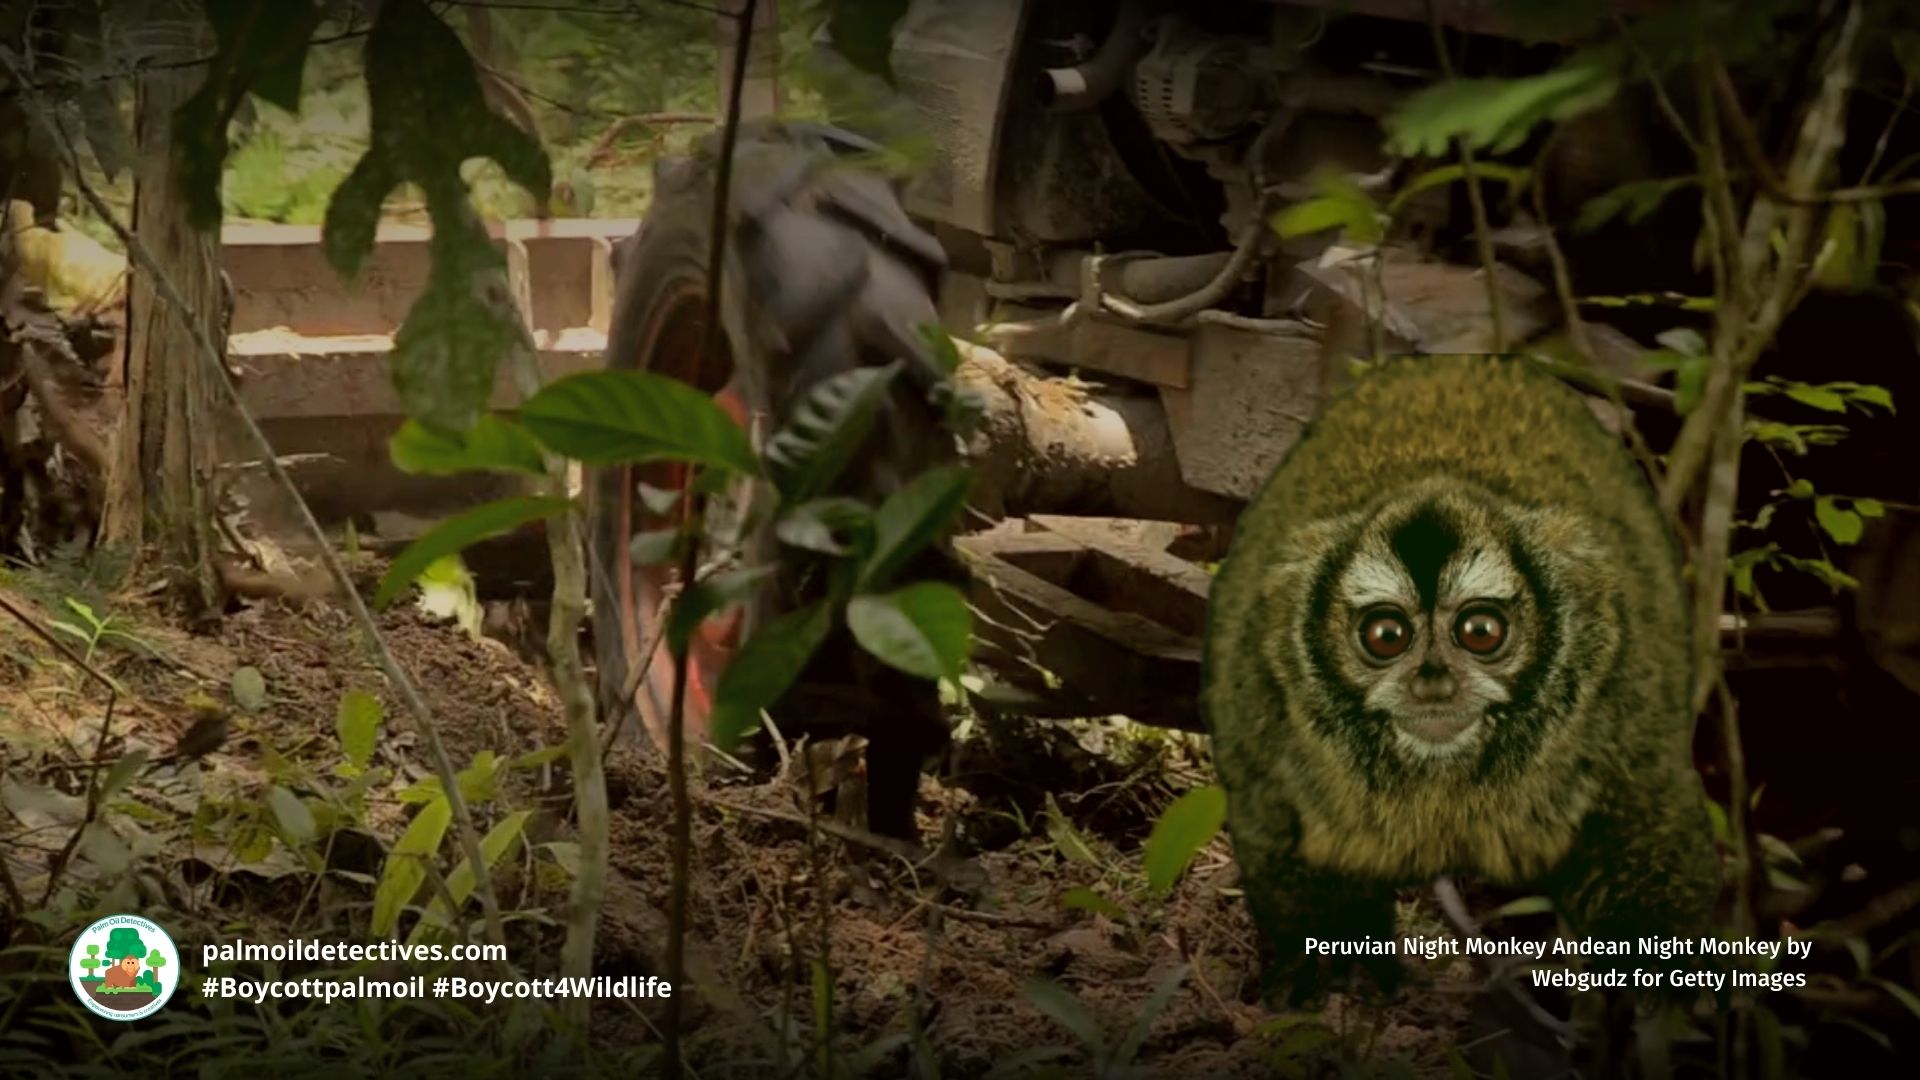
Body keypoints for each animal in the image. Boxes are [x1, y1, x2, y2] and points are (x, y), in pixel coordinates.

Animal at [1201, 354, 1720, 1005]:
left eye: (1480, 631)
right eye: (1386, 635)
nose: (1433, 682)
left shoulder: (1626, 693)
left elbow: (1649, 825)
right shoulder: (1259, 688)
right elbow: (1273, 819)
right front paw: (1329, 969)